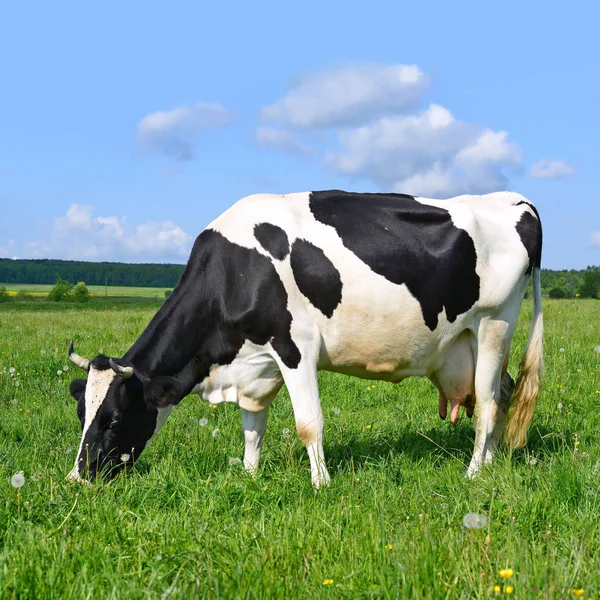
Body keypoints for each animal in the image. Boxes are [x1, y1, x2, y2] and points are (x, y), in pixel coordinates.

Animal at [67, 190, 544, 486]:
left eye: (113, 419)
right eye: (80, 413)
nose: (78, 478)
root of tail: (513, 199)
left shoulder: (295, 346)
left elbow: (308, 423)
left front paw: (321, 483)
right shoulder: (256, 363)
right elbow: (252, 427)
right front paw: (249, 475)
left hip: (495, 324)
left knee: (489, 403)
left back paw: (474, 473)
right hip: (468, 342)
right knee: (503, 392)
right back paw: (493, 462)